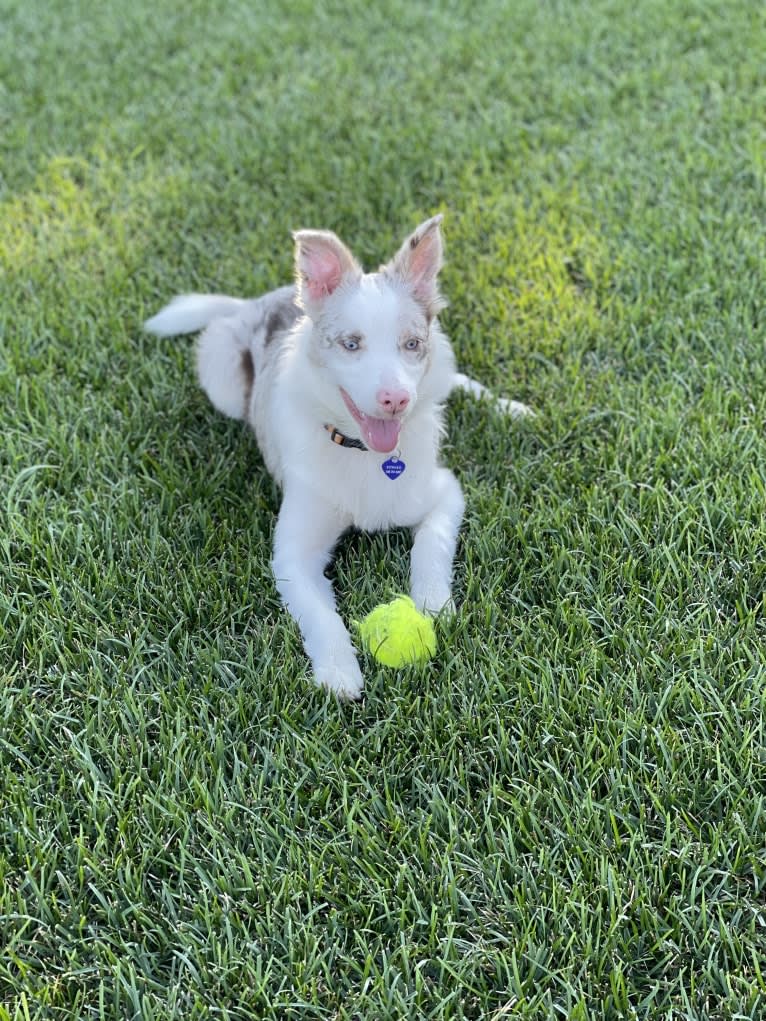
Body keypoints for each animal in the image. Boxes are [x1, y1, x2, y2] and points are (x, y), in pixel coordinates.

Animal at [144, 213, 531, 694]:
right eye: (351, 344)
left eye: (411, 344)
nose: (396, 400)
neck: (365, 452)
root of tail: (260, 300)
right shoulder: (293, 553)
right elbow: (320, 616)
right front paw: (338, 672)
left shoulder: (445, 490)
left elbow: (432, 545)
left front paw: (434, 606)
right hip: (223, 378)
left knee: (455, 378)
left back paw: (511, 408)